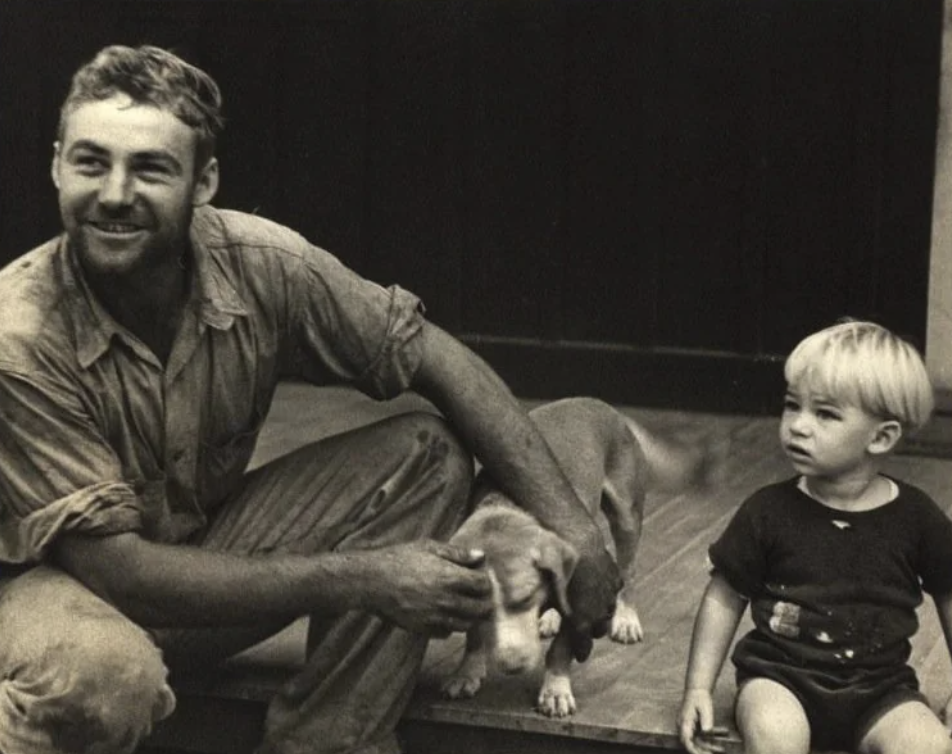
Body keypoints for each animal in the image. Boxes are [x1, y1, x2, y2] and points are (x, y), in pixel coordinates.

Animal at [442, 396, 712, 712]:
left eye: (525, 598)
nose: (511, 665)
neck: (504, 506)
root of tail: (602, 405)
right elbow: (474, 634)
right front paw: (466, 671)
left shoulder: (585, 596)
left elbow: (561, 649)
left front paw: (555, 689)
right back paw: (550, 618)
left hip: (626, 517)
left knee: (629, 572)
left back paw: (626, 618)